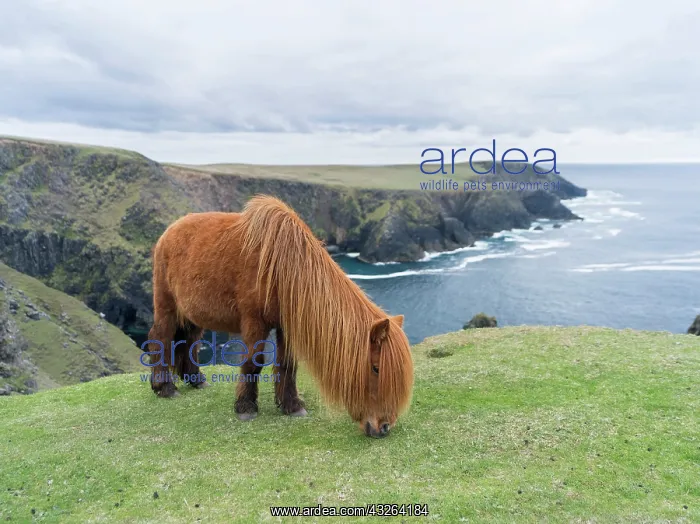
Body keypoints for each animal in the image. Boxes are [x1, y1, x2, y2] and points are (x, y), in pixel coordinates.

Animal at [146, 194, 414, 438]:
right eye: (376, 368)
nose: (384, 427)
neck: (283, 266)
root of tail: (170, 230)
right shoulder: (254, 322)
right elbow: (254, 361)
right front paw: (245, 407)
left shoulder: (287, 325)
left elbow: (287, 364)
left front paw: (291, 405)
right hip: (167, 305)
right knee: (161, 337)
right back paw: (164, 387)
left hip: (191, 315)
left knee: (188, 341)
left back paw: (194, 379)